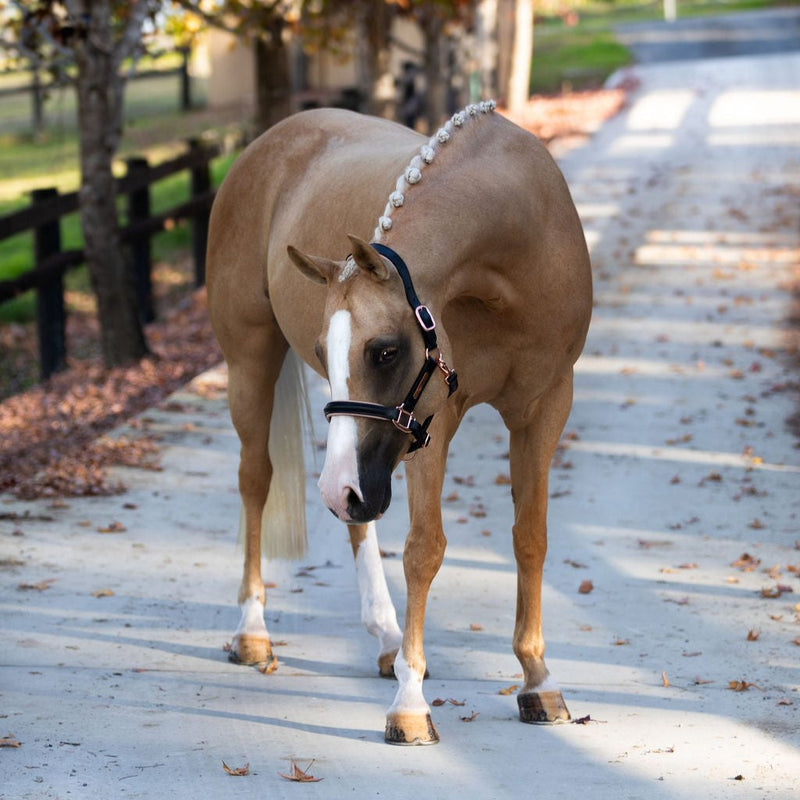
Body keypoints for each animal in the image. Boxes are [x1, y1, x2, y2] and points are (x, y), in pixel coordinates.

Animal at [206, 100, 592, 744]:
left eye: (384, 351)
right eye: (325, 347)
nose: (341, 489)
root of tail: (269, 142)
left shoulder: (545, 408)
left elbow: (529, 537)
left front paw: (538, 680)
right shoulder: (436, 416)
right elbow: (424, 549)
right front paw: (411, 707)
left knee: (354, 519)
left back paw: (386, 638)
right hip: (252, 364)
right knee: (256, 481)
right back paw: (252, 631)